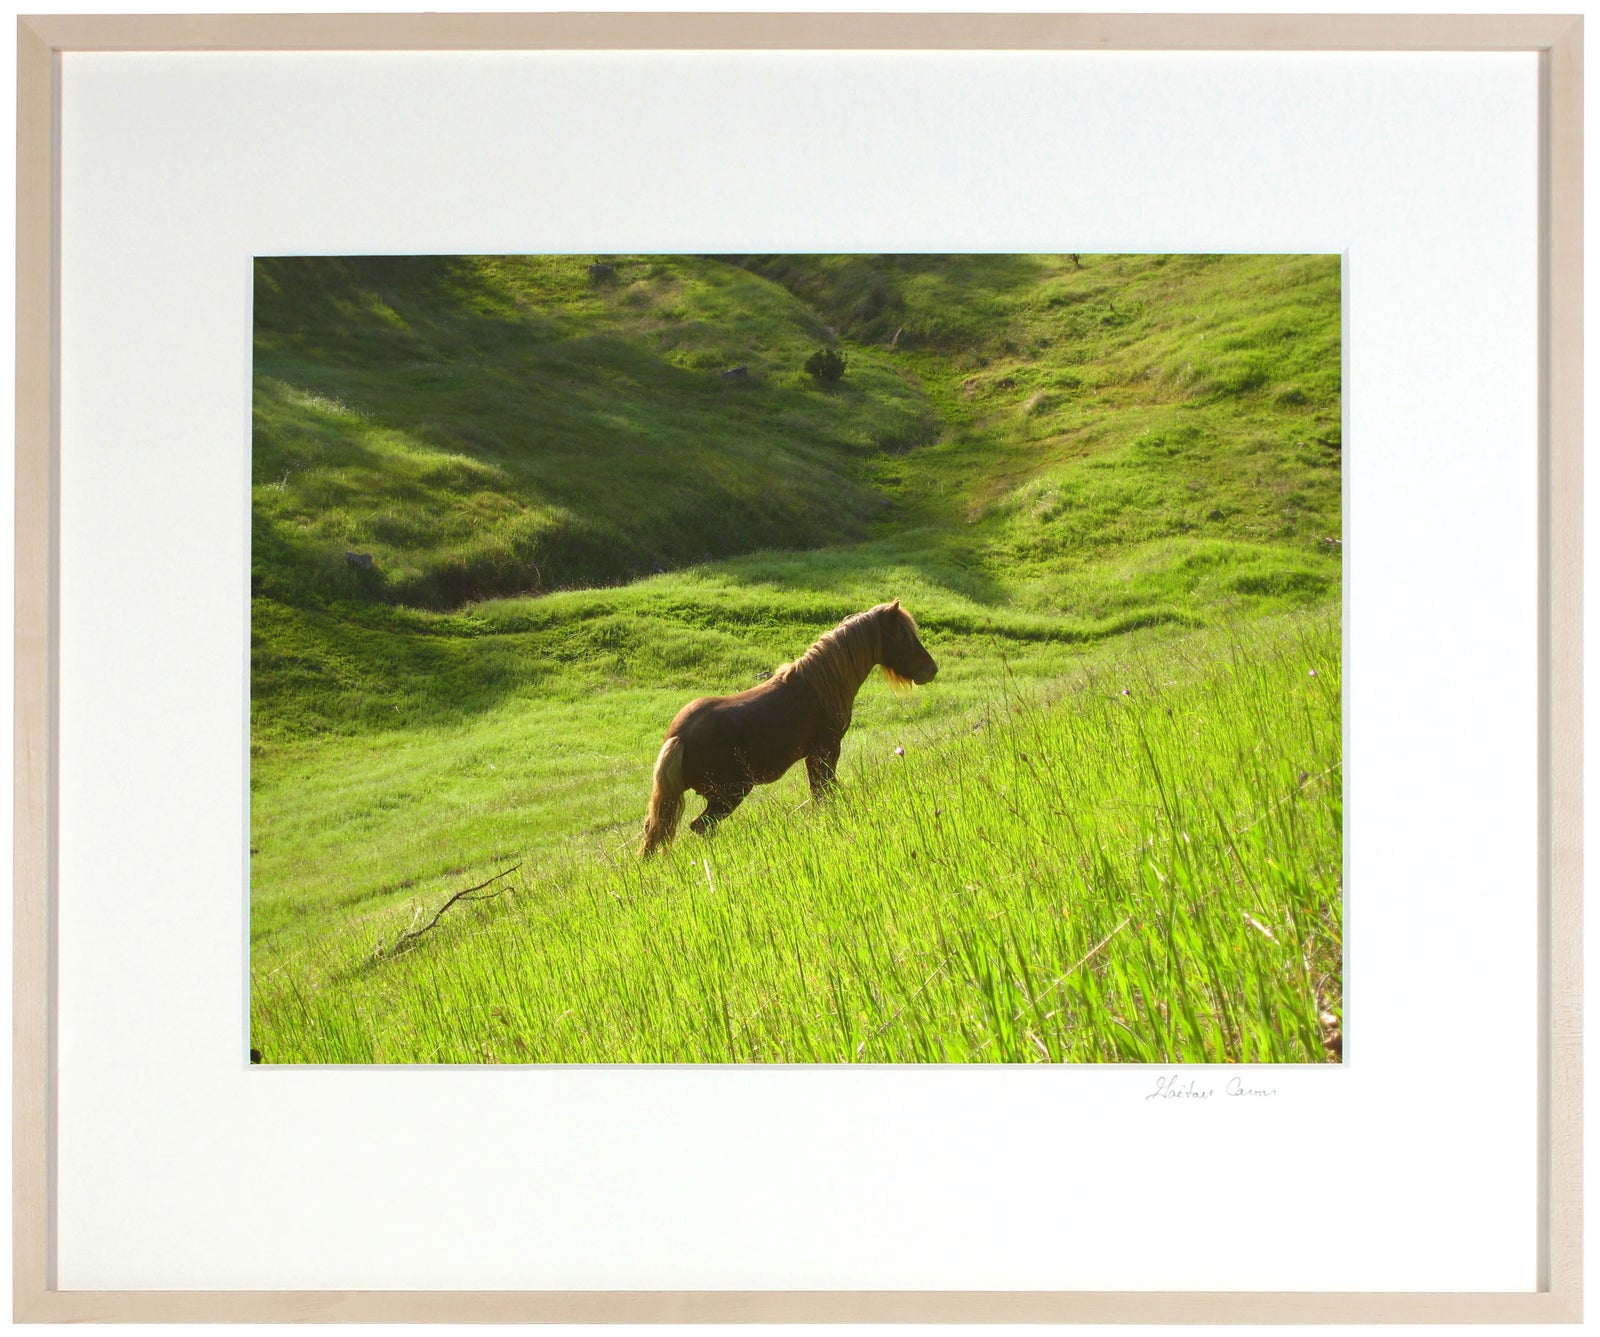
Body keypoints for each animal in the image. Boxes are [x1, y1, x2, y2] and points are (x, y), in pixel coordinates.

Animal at [639, 600, 938, 855]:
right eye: (903, 635)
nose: (931, 670)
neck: (819, 686)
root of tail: (678, 738)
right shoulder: (825, 751)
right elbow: (824, 793)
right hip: (730, 794)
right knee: (701, 826)